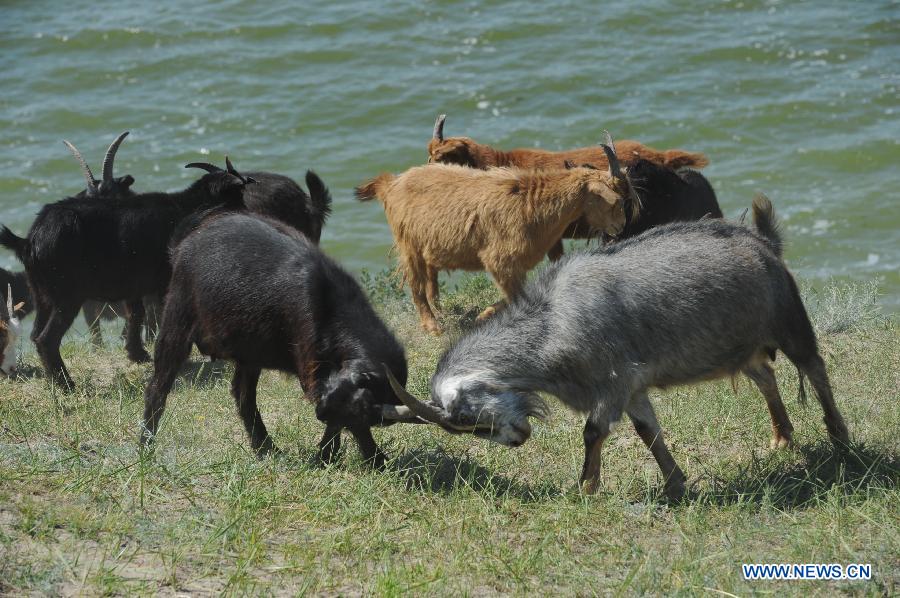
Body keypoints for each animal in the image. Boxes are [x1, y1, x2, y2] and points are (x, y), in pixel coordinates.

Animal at [0, 158, 253, 390]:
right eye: (237, 193)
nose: (249, 217)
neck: (184, 208)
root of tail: (28, 241)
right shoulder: (164, 282)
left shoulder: (134, 284)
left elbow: (137, 314)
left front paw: (137, 354)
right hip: (68, 296)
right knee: (47, 339)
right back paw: (67, 385)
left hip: (41, 294)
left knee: (35, 334)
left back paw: (53, 381)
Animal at [141, 212, 409, 467]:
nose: (320, 413)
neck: (331, 304)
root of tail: (185, 243)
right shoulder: (310, 364)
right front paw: (367, 459)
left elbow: (337, 422)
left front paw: (333, 456)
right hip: (177, 320)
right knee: (158, 388)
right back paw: (145, 447)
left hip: (249, 352)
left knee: (243, 395)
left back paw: (266, 449)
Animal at [357, 143, 632, 334]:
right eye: (615, 201)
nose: (620, 226)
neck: (532, 202)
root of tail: (391, 184)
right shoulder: (500, 261)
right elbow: (517, 297)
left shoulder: (516, 267)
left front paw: (484, 314)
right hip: (408, 244)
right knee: (415, 285)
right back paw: (433, 326)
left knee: (430, 280)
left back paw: (442, 313)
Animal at [386, 195, 850, 501]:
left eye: (466, 417)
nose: (515, 440)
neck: (551, 325)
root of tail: (765, 243)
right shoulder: (633, 386)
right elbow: (647, 431)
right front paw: (675, 483)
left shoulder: (614, 380)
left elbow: (594, 431)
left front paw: (585, 489)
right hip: (740, 344)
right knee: (765, 375)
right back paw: (782, 438)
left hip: (789, 320)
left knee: (816, 368)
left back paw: (841, 441)